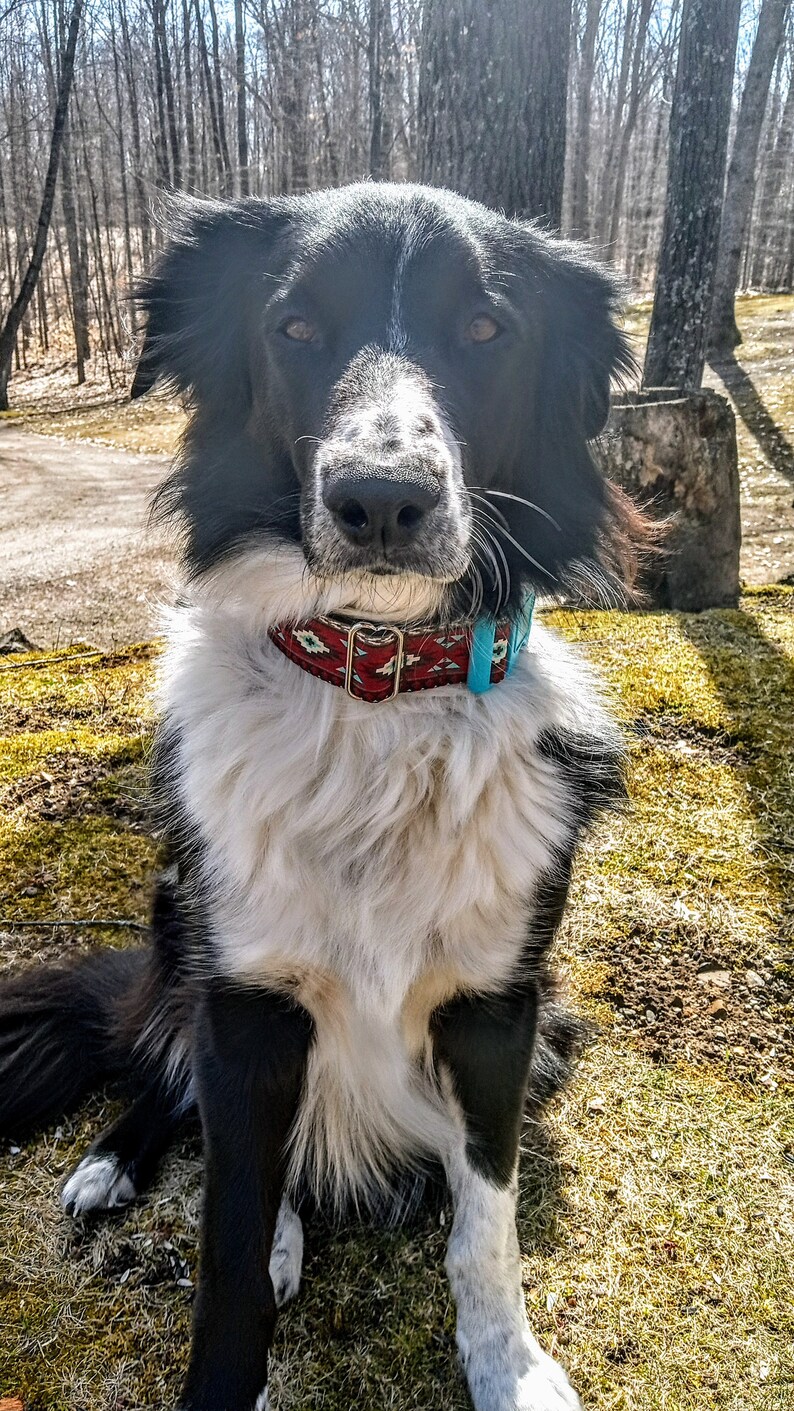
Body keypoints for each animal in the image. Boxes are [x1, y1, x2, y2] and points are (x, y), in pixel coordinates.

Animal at [0, 187, 640, 1411]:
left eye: (485, 327)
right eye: (293, 326)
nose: (381, 501)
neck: (374, 693)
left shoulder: (499, 1009)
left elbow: (483, 1226)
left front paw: (508, 1365)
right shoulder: (245, 1003)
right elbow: (230, 1243)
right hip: (181, 924)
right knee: (175, 1081)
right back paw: (118, 1164)